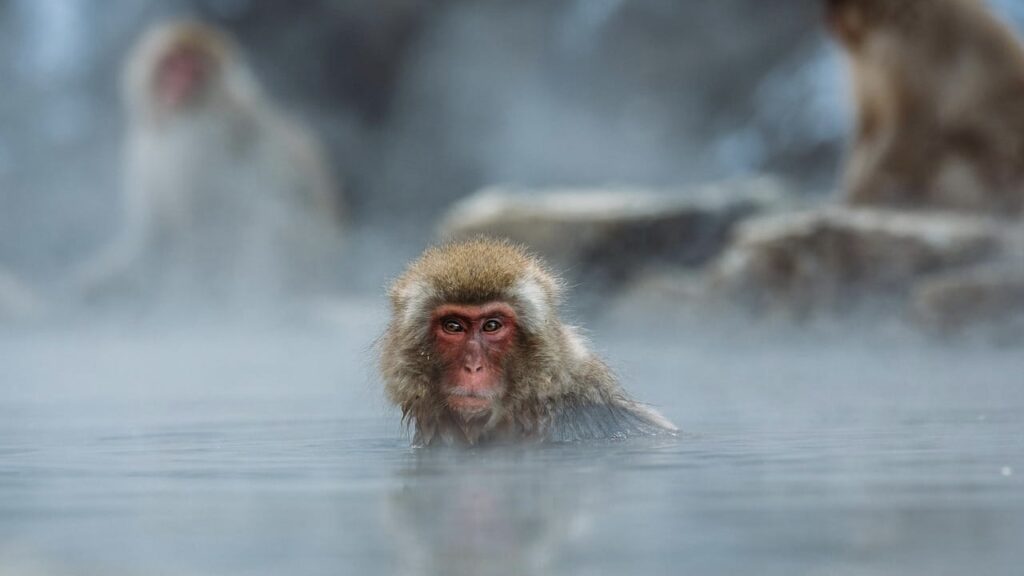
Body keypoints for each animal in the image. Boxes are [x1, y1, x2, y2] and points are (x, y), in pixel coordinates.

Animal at [75, 20, 343, 305]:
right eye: (172, 64)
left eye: (195, 71)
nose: (178, 87)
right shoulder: (141, 149)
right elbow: (152, 239)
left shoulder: (200, 146)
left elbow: (209, 226)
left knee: (264, 222)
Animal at [826, 0, 1024, 214]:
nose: (832, 22)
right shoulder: (867, 71)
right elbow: (869, 124)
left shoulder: (915, 56)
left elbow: (913, 124)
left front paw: (861, 191)